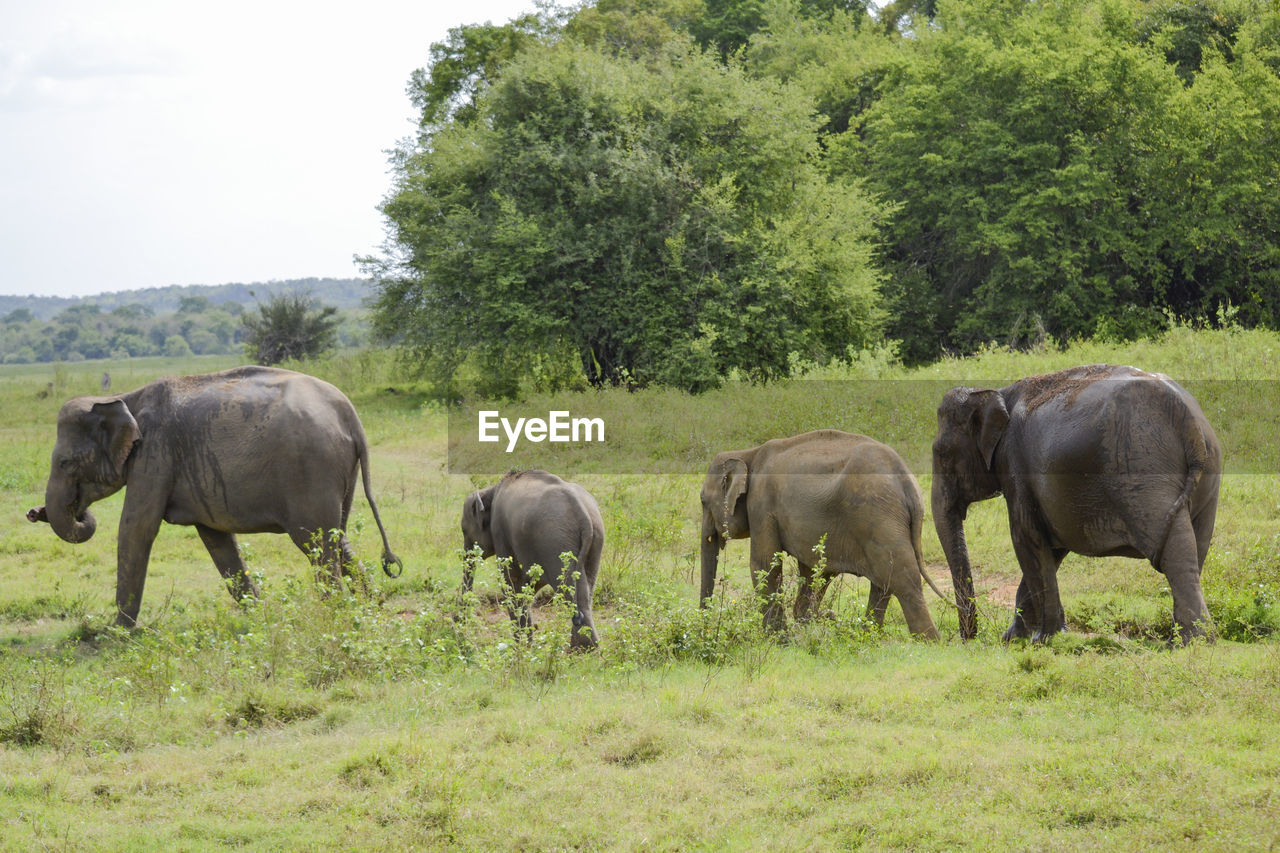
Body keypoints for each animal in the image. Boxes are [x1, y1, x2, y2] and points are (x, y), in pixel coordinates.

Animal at [28, 361, 399, 622]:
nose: (34, 513)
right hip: (337, 473)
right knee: (337, 539)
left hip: (311, 469)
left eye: (64, 463)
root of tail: (350, 415)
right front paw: (261, 616)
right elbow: (216, 538)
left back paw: (334, 616)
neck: (123, 396)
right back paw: (369, 606)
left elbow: (137, 528)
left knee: (316, 544)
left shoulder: (155, 453)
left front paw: (116, 631)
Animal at [460, 468, 604, 648]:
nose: (459, 620)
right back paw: (586, 648)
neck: (491, 490)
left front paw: (521, 646)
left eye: (464, 531)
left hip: (555, 543)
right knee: (585, 591)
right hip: (594, 539)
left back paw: (580, 648)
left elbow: (511, 581)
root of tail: (583, 514)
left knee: (568, 587)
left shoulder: (500, 533)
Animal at [696, 427, 947, 635]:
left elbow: (764, 564)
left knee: (902, 578)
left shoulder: (761, 506)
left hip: (877, 514)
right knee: (884, 580)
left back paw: (929, 642)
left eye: (702, 501)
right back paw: (868, 635)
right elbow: (813, 569)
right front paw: (806, 624)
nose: (704, 625)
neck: (748, 454)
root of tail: (907, 480)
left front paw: (777, 638)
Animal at [931, 361, 1218, 640]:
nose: (968, 639)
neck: (998, 393)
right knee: (1196, 549)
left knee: (1175, 554)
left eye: (940, 453)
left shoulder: (1015, 466)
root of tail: (1190, 422)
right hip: (1207, 478)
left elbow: (1026, 539)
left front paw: (1044, 639)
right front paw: (1015, 639)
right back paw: (1188, 640)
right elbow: (1051, 548)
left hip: (1143, 471)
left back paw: (1190, 641)